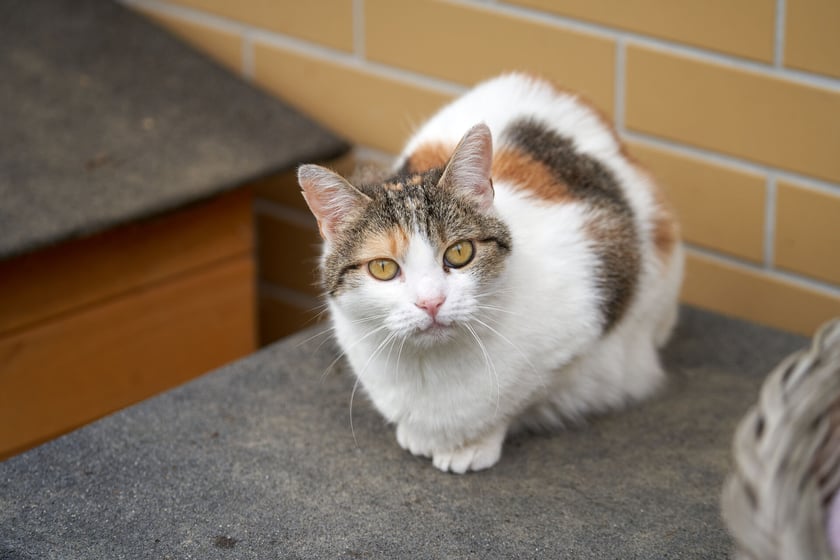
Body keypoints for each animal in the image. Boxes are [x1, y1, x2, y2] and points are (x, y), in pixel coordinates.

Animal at [300, 71, 684, 472]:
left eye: (459, 253)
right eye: (383, 267)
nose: (431, 302)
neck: (431, 367)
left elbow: (521, 398)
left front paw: (474, 443)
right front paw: (417, 434)